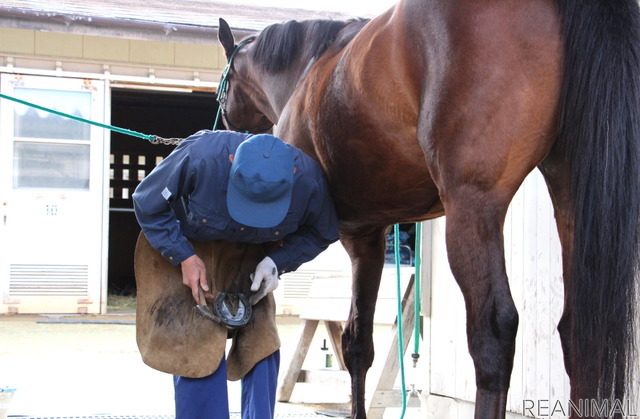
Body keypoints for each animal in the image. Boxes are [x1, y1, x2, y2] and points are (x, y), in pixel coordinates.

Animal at [214, 0, 640, 416]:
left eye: (224, 86)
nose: (225, 126)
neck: (308, 69)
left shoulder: (343, 233)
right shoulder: (370, 235)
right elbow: (358, 344)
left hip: (472, 210)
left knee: (493, 334)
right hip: (570, 203)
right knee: (579, 332)